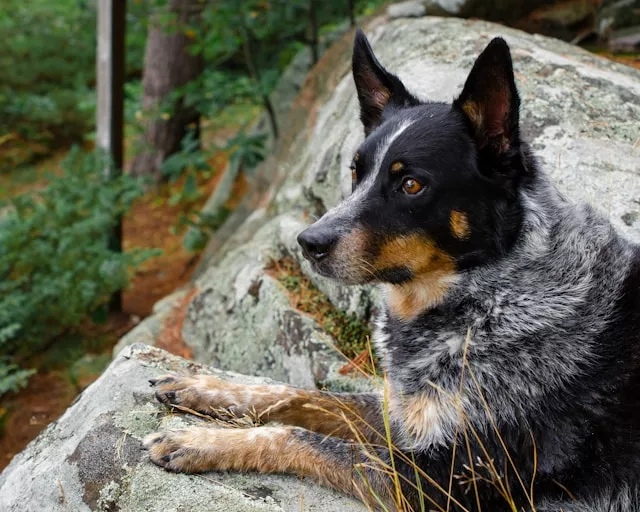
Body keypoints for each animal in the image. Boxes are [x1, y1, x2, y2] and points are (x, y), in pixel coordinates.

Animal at [144, 32, 640, 512]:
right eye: (355, 172)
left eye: (411, 184)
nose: (309, 242)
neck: (489, 297)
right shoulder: (399, 410)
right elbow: (302, 396)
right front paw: (203, 387)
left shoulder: (449, 480)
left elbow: (299, 436)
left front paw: (201, 440)